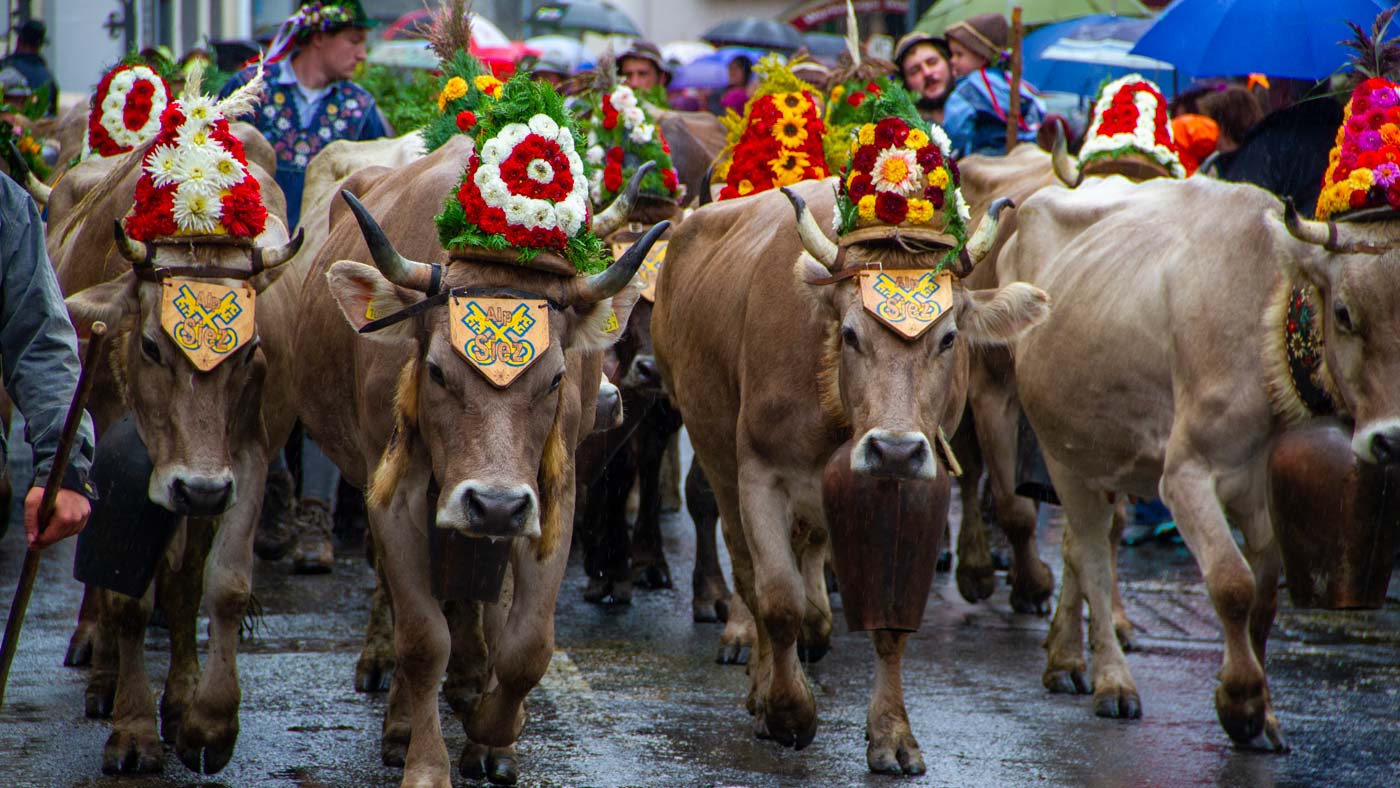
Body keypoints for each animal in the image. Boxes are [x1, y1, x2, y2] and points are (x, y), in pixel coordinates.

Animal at [52, 124, 303, 778]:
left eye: (251, 348)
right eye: (150, 345)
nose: (201, 487)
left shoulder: (246, 459)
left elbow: (221, 585)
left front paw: (206, 721)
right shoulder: (123, 472)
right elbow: (127, 598)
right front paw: (134, 729)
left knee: (184, 580)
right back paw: (103, 673)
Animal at [291, 138, 660, 783]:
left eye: (557, 376)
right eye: (437, 371)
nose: (494, 504)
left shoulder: (550, 494)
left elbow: (526, 642)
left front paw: (495, 735)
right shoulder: (396, 495)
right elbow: (422, 640)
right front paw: (425, 759)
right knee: (397, 594)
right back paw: (394, 698)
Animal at [649, 177, 1047, 772]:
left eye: (949, 338)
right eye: (852, 334)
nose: (895, 450)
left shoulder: (911, 489)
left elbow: (890, 619)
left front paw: (892, 733)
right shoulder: (759, 475)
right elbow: (778, 599)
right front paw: (788, 712)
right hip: (713, 450)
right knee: (748, 574)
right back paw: (761, 687)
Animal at [991, 175, 1400, 750]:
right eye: (1343, 313)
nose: (1392, 440)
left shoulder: (1265, 497)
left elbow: (1264, 597)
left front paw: (1263, 711)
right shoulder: (1185, 475)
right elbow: (1232, 585)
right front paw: (1240, 702)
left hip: (1104, 451)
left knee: (1075, 546)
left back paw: (1066, 660)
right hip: (1061, 451)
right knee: (1091, 555)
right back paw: (1113, 681)